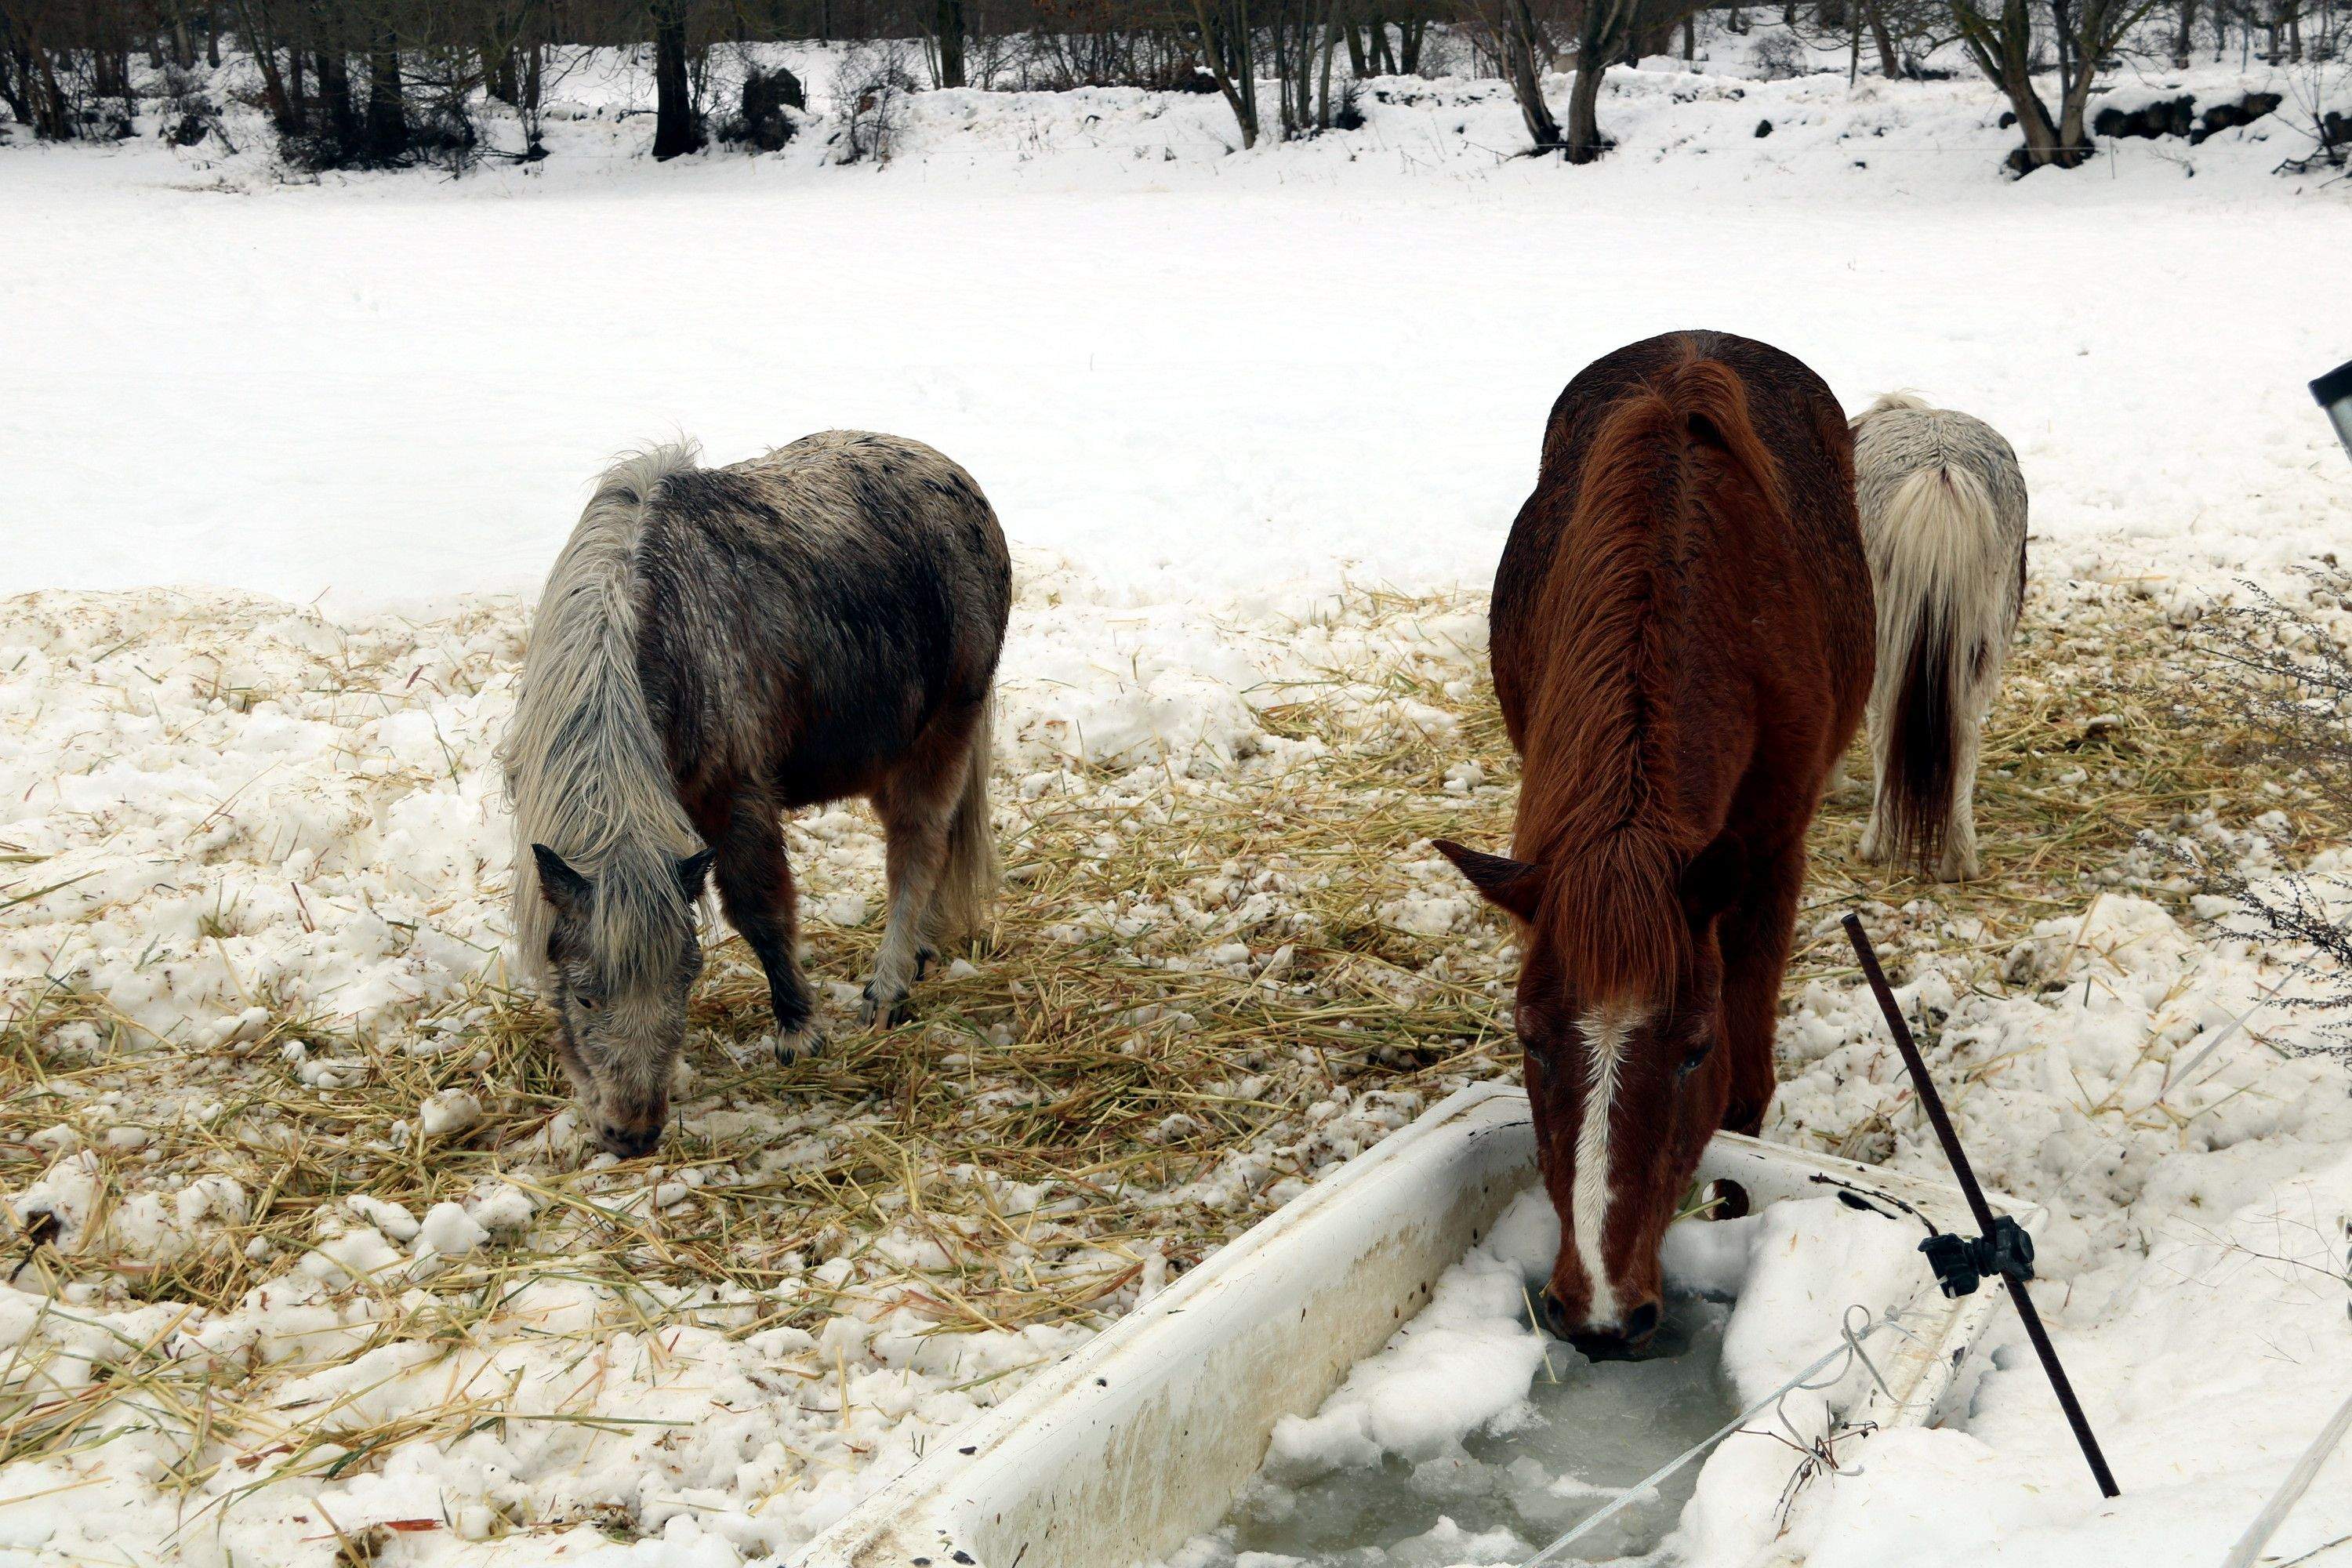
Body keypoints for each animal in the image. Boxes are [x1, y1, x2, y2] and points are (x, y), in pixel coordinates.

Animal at [1844, 392, 2032, 884]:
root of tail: (1941, 472)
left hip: (1887, 639)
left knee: (1884, 723)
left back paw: (1877, 843)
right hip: (1983, 638)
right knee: (1964, 731)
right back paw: (1959, 859)